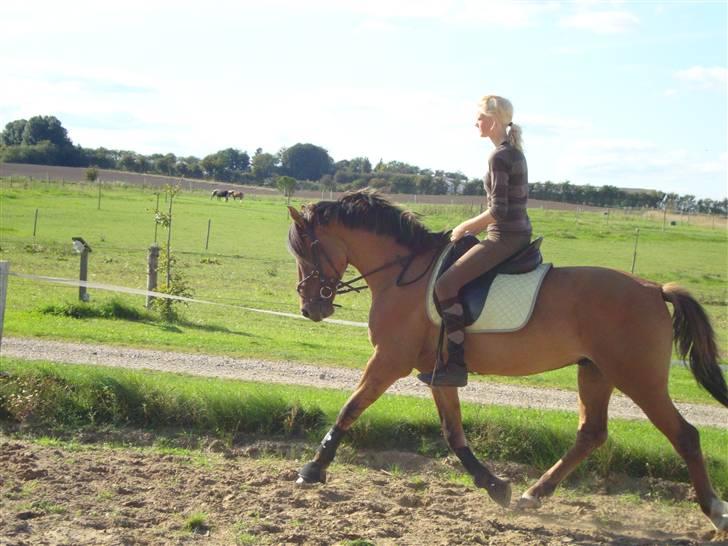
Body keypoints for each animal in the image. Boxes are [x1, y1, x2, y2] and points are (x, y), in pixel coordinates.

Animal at [286, 189, 728, 528]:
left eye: (306, 250)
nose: (310, 308)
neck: (403, 274)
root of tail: (654, 288)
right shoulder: (437, 371)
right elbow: (454, 433)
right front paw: (496, 486)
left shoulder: (389, 360)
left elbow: (351, 407)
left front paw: (313, 469)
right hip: (596, 372)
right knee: (591, 433)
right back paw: (534, 494)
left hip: (638, 377)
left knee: (685, 435)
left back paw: (714, 510)